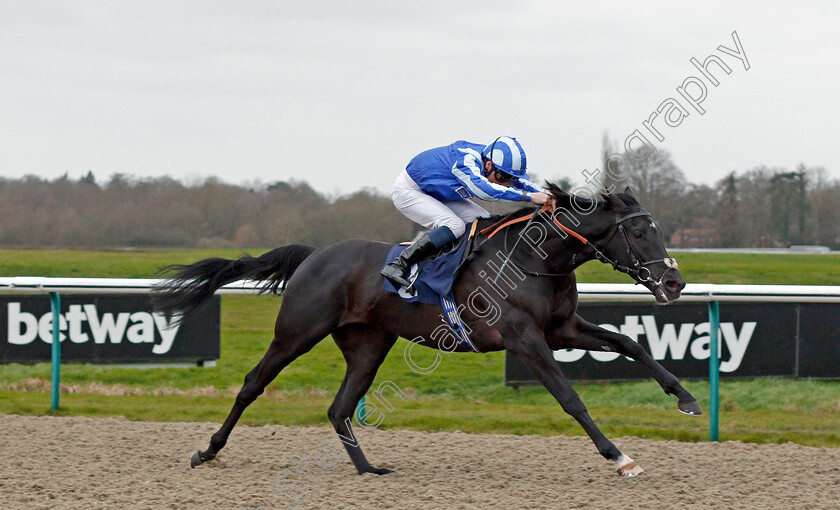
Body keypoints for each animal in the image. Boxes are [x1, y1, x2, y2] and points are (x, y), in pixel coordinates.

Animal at [154, 185, 700, 480]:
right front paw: (620, 457)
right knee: (253, 384)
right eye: (638, 232)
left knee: (339, 407)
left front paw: (686, 398)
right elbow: (571, 398)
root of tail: (314, 254)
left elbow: (627, 342)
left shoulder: (560, 328)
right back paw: (207, 451)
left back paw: (367, 471)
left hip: (369, 345)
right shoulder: (525, 339)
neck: (534, 258)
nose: (675, 281)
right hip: (297, 332)